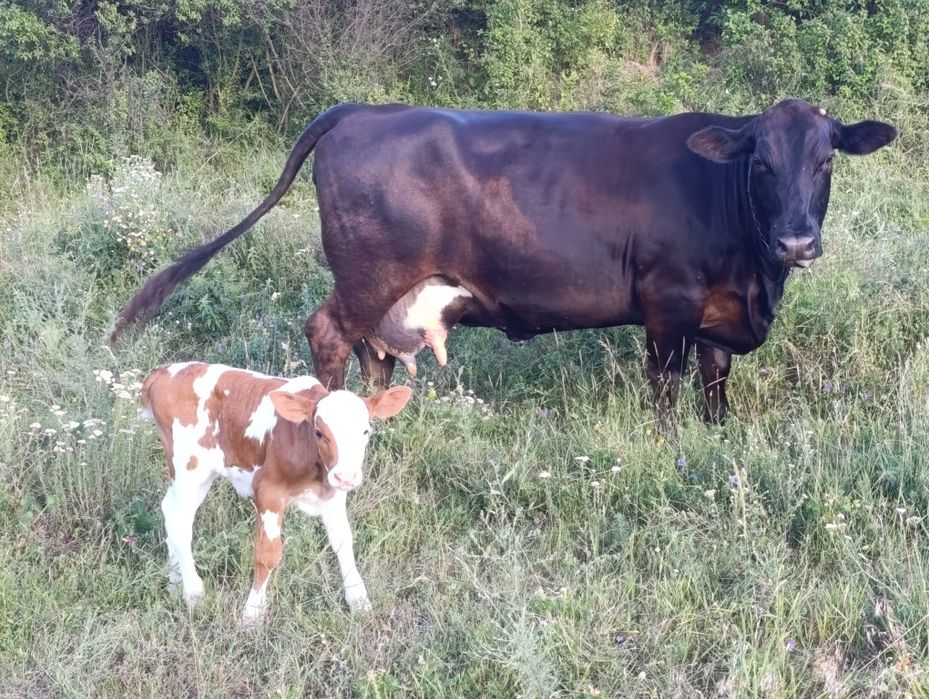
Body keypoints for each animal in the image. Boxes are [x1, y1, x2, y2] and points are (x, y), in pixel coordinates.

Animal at [112, 99, 897, 424]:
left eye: (825, 160)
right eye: (761, 162)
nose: (796, 242)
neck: (756, 274)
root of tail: (363, 108)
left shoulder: (716, 314)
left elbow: (715, 382)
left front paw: (716, 435)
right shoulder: (667, 303)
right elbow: (666, 386)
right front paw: (670, 440)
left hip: (386, 290)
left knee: (373, 351)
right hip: (369, 275)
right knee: (329, 334)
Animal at [141, 362, 412, 626]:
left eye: (366, 431)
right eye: (319, 432)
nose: (346, 476)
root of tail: (165, 371)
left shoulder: (333, 495)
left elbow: (343, 542)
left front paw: (358, 600)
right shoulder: (267, 491)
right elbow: (267, 554)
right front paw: (252, 614)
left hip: (199, 476)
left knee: (171, 512)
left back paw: (175, 582)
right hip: (188, 469)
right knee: (180, 522)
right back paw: (193, 592)